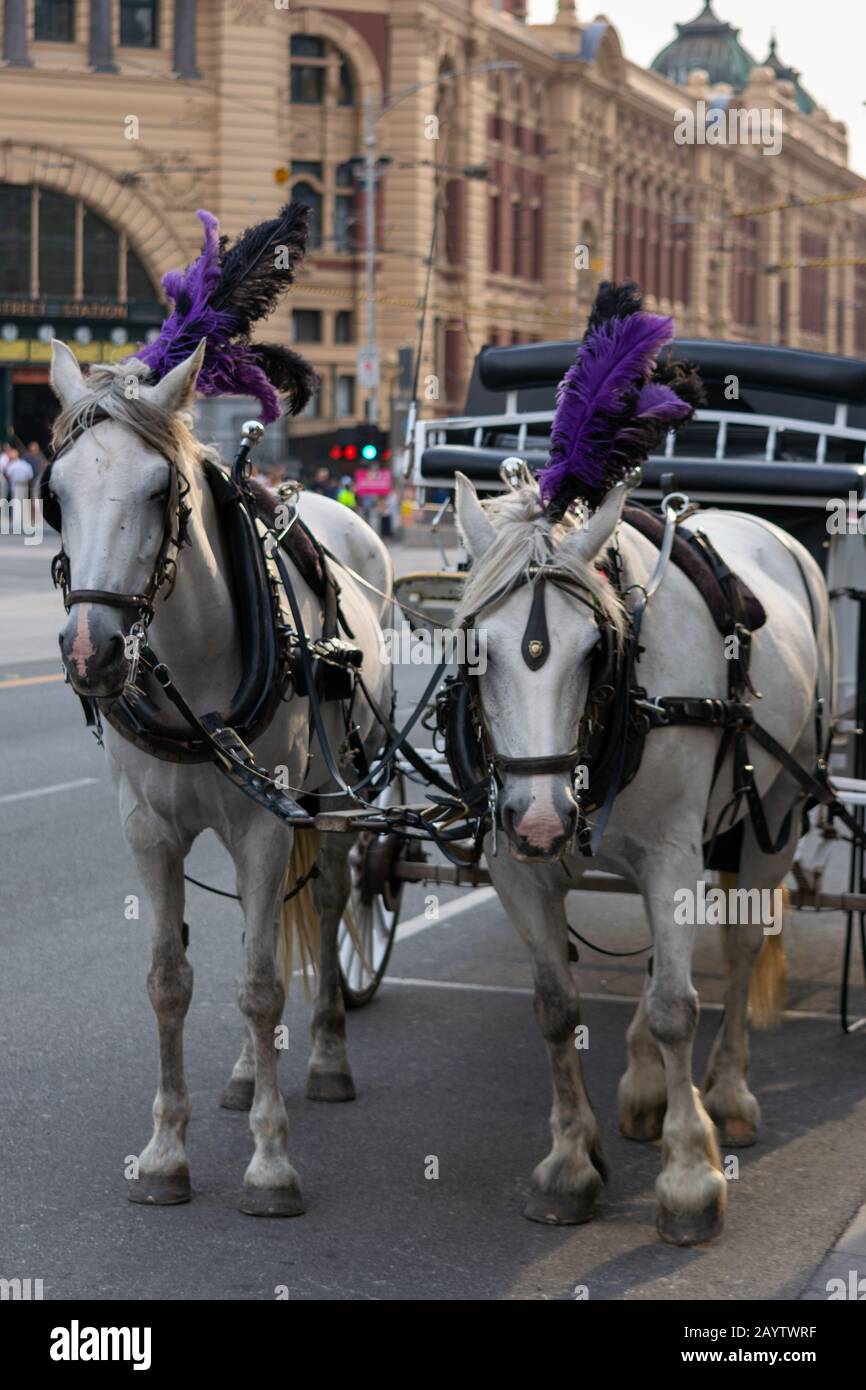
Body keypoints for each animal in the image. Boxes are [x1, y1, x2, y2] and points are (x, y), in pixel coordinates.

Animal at [44, 339, 389, 1217]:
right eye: (55, 495)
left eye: (159, 489)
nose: (91, 652)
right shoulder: (147, 829)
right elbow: (171, 980)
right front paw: (166, 1152)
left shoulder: (268, 823)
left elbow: (263, 985)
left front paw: (270, 1163)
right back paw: (241, 1075)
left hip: (335, 797)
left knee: (332, 903)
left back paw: (328, 1058)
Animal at [453, 472, 834, 1245]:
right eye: (478, 650)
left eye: (592, 651)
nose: (541, 821)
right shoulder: (518, 869)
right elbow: (556, 1008)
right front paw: (570, 1162)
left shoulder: (671, 856)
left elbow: (676, 1010)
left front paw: (689, 1179)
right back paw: (650, 1085)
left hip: (776, 809)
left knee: (741, 950)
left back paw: (727, 1093)